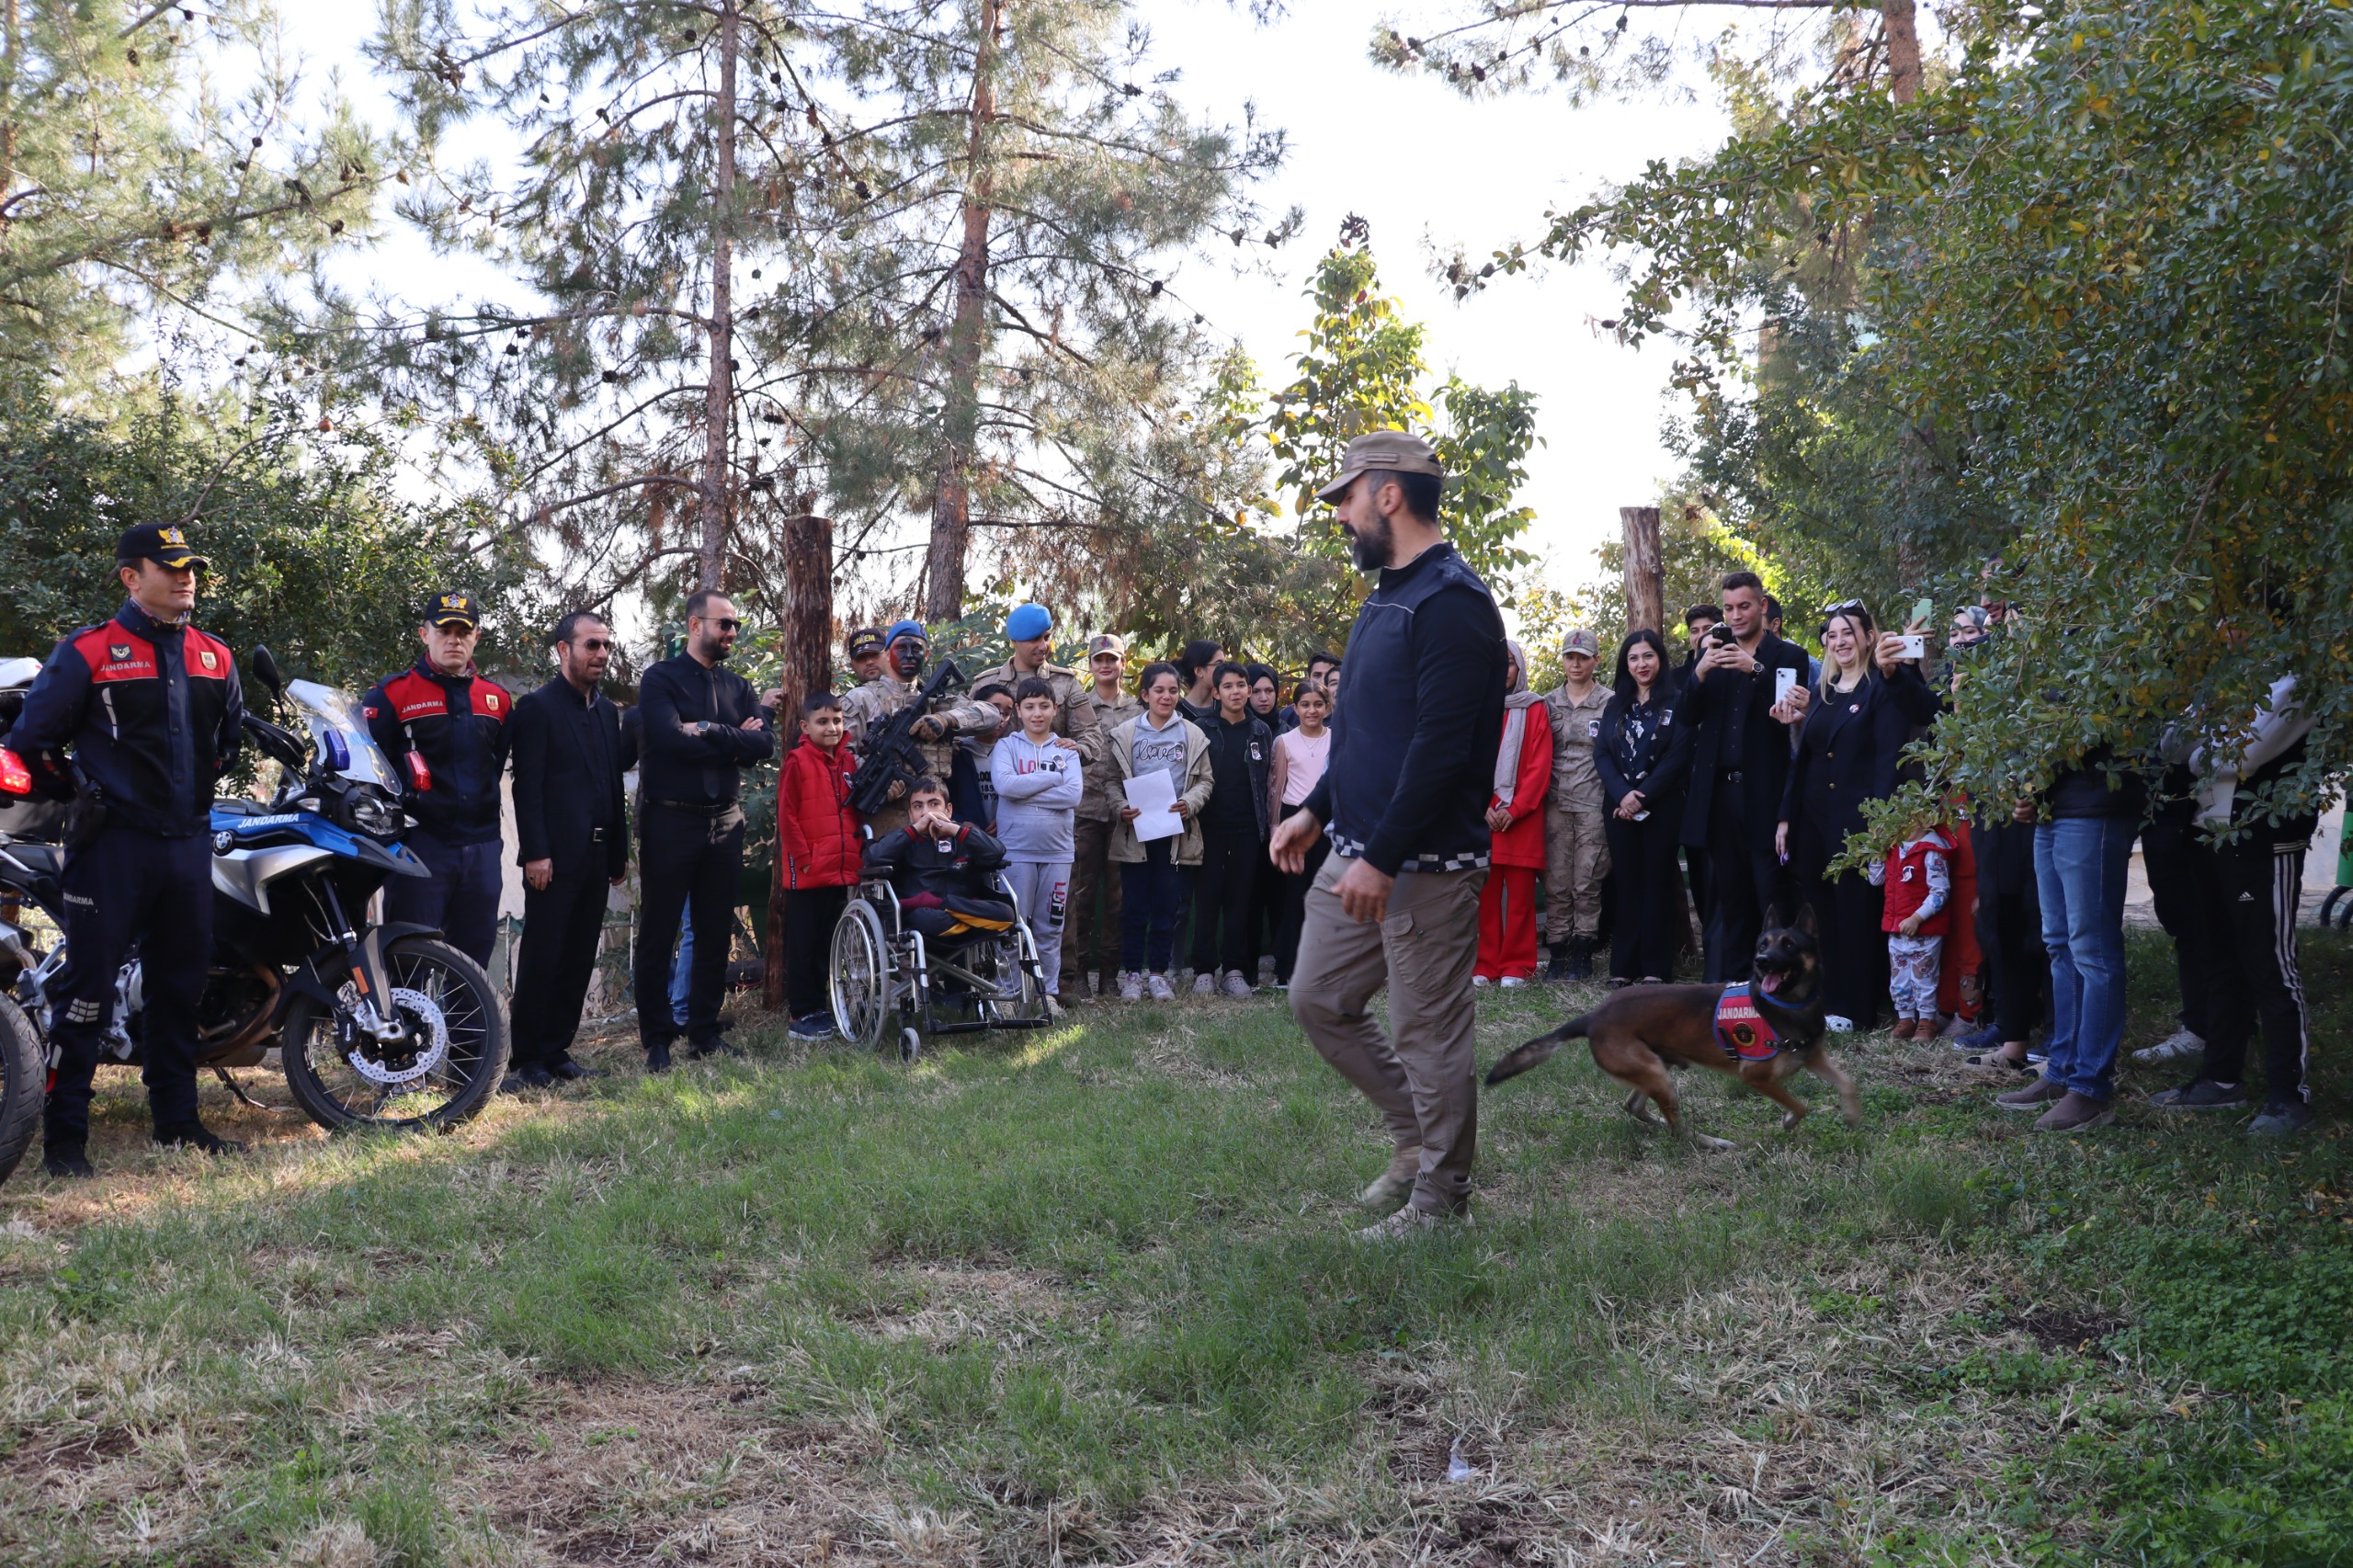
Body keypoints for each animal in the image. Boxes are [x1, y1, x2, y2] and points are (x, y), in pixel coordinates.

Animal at [1486, 903, 1854, 1149]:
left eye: (1789, 944)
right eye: (1763, 945)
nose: (1760, 962)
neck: (1786, 1003)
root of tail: (1592, 1017)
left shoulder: (1813, 1057)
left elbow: (1847, 1084)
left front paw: (1852, 1116)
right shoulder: (1757, 1077)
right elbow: (1800, 1105)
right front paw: (1789, 1121)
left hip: (1654, 1069)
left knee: (1636, 1107)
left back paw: (1663, 1126)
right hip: (1655, 1073)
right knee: (1677, 1129)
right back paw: (1710, 1142)